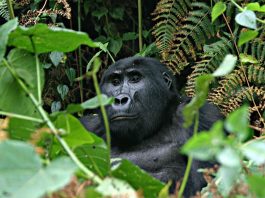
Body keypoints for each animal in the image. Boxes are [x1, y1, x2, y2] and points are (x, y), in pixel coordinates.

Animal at [79, 56, 222, 197]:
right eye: (115, 82)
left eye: (135, 79)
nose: (119, 99)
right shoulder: (88, 125)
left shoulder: (202, 115)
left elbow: (201, 186)